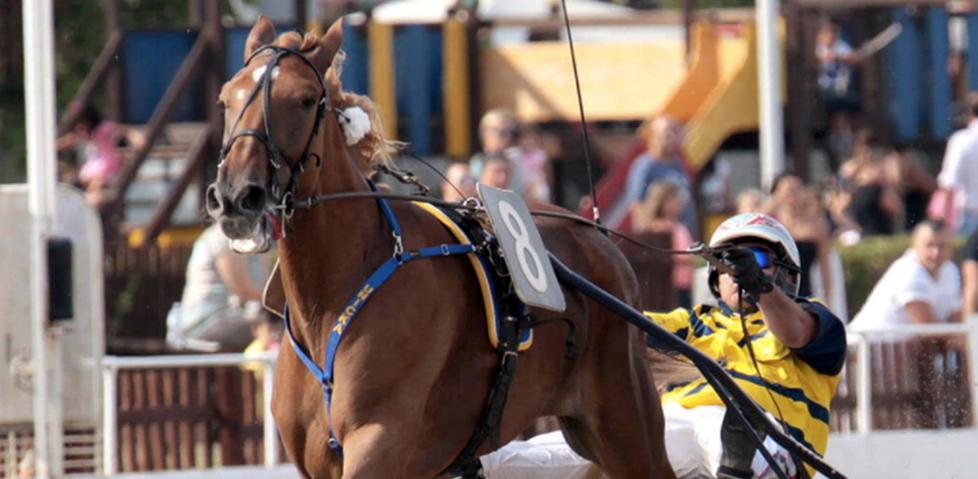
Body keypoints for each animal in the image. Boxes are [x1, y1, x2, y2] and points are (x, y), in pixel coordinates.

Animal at [205, 16, 677, 479]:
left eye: (304, 99)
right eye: (226, 98)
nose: (237, 195)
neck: (332, 296)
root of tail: (596, 232)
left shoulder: (380, 441)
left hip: (624, 424)